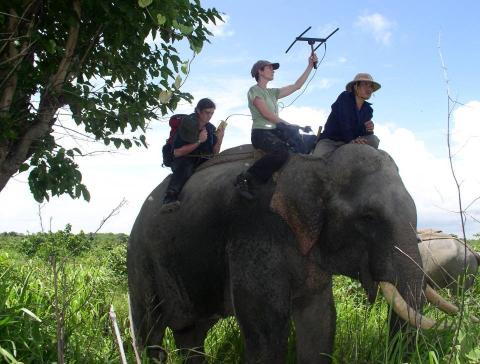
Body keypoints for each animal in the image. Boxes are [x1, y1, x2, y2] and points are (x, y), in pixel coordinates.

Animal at [127, 144, 458, 362]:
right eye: (368, 217)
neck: (317, 163)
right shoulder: (255, 232)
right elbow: (267, 327)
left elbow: (320, 319)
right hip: (141, 257)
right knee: (150, 332)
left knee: (191, 333)